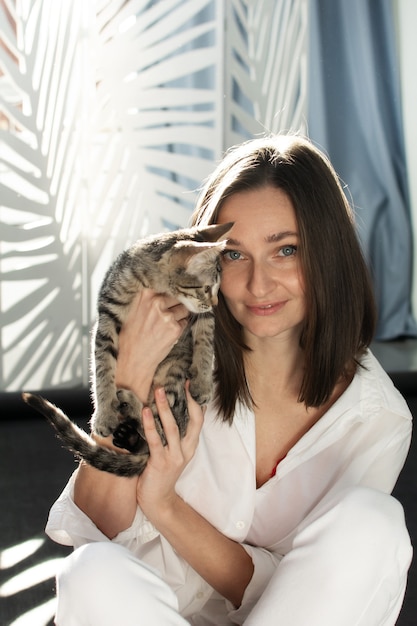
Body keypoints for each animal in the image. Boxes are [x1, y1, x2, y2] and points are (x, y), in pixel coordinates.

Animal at [22, 222, 232, 476]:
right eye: (207, 288)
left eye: (218, 289)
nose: (216, 303)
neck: (157, 287)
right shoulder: (107, 317)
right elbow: (102, 369)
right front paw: (104, 414)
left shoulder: (203, 316)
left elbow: (205, 341)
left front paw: (202, 382)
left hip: (171, 379)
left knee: (163, 436)